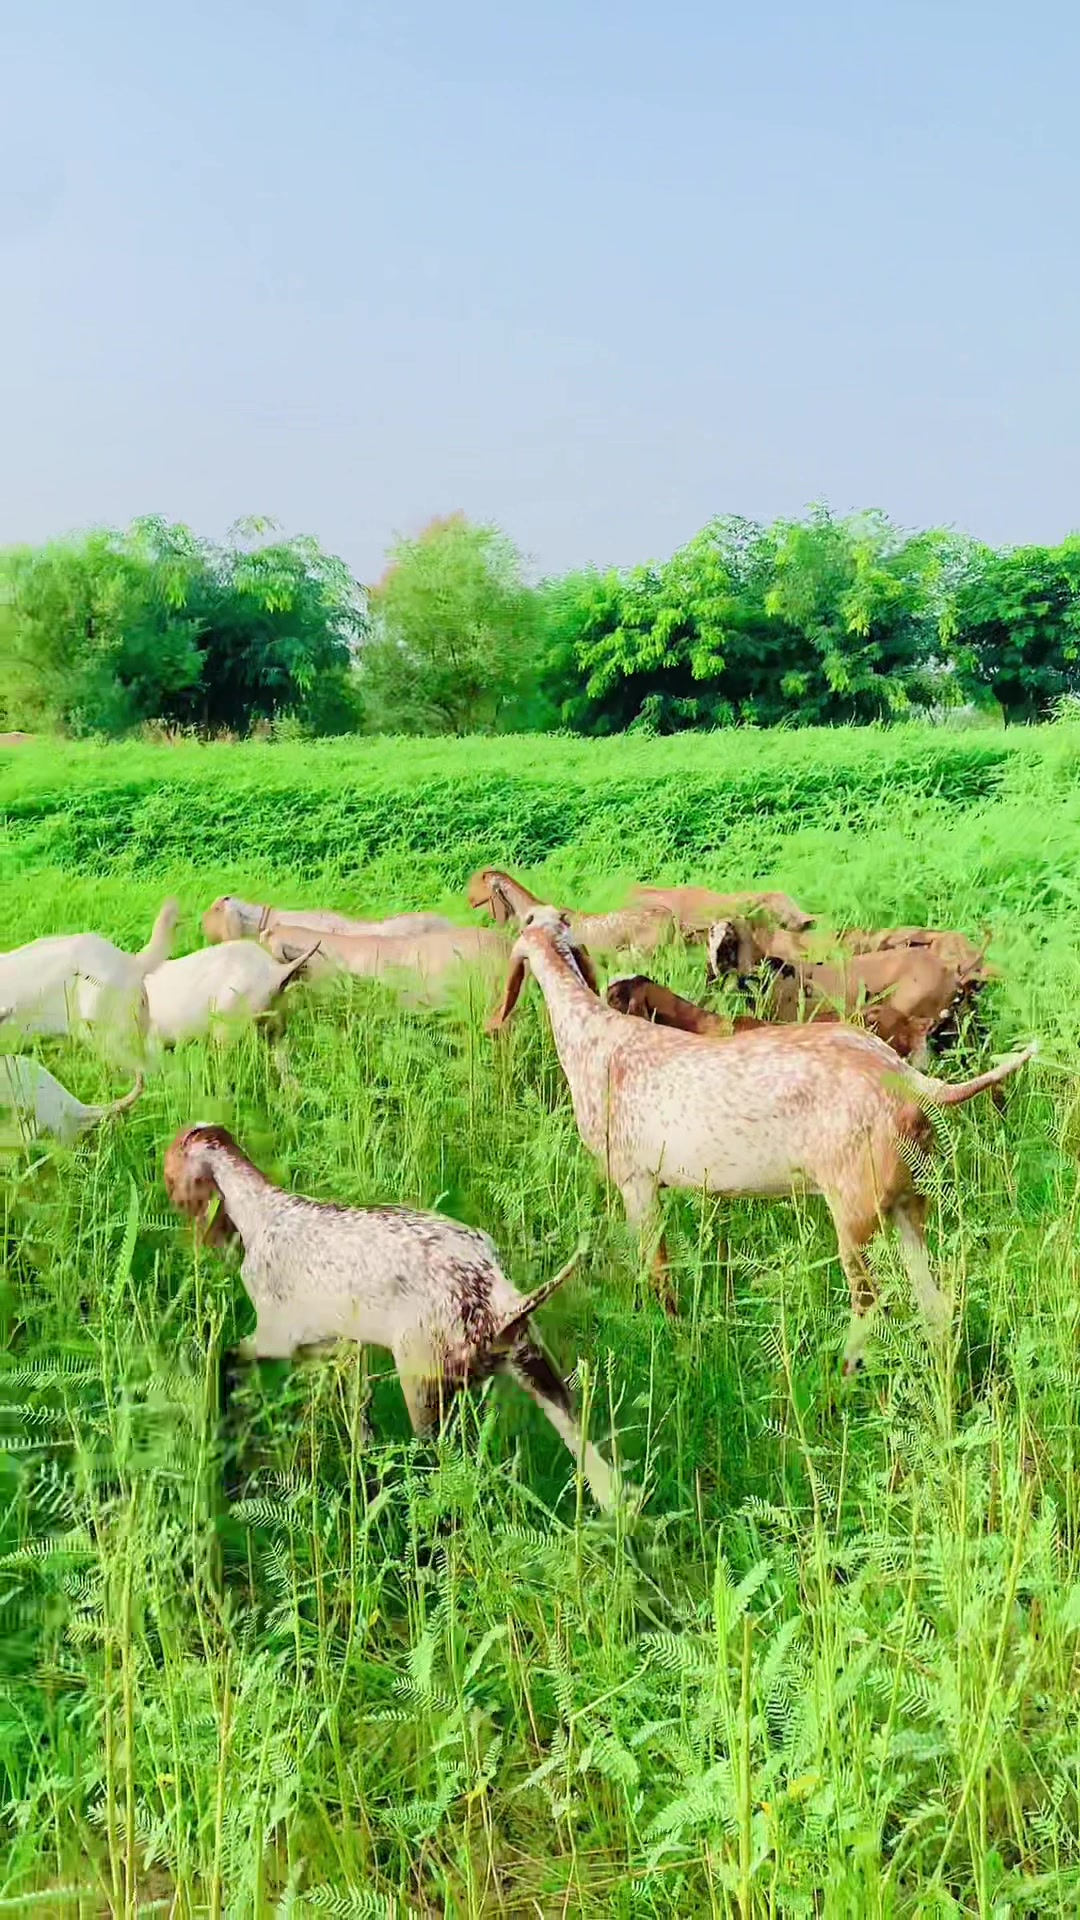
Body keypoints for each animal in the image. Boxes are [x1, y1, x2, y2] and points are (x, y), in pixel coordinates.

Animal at [164, 1123, 616, 1510]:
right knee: (604, 1477)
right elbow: (362, 1427)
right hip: (538, 1374)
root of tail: (499, 1298)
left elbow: (226, 1360)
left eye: (170, 1173)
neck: (263, 1212)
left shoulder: (282, 1337)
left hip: (424, 1388)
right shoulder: (343, 1353)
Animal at [488, 906, 1036, 1369]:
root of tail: (909, 1081)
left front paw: (674, 1340)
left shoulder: (635, 1179)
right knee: (935, 1303)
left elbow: (657, 1271)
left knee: (872, 1303)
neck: (592, 1037)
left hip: (854, 1209)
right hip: (907, 1200)